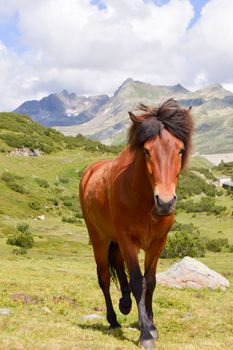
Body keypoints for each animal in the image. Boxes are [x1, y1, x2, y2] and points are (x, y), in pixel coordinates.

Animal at [79, 98, 194, 348]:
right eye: (147, 151)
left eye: (180, 149)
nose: (165, 202)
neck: (143, 199)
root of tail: (90, 171)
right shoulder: (127, 240)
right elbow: (137, 282)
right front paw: (145, 334)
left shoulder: (158, 242)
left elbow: (149, 282)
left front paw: (151, 325)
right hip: (99, 238)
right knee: (104, 277)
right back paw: (113, 319)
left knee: (117, 267)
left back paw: (125, 304)